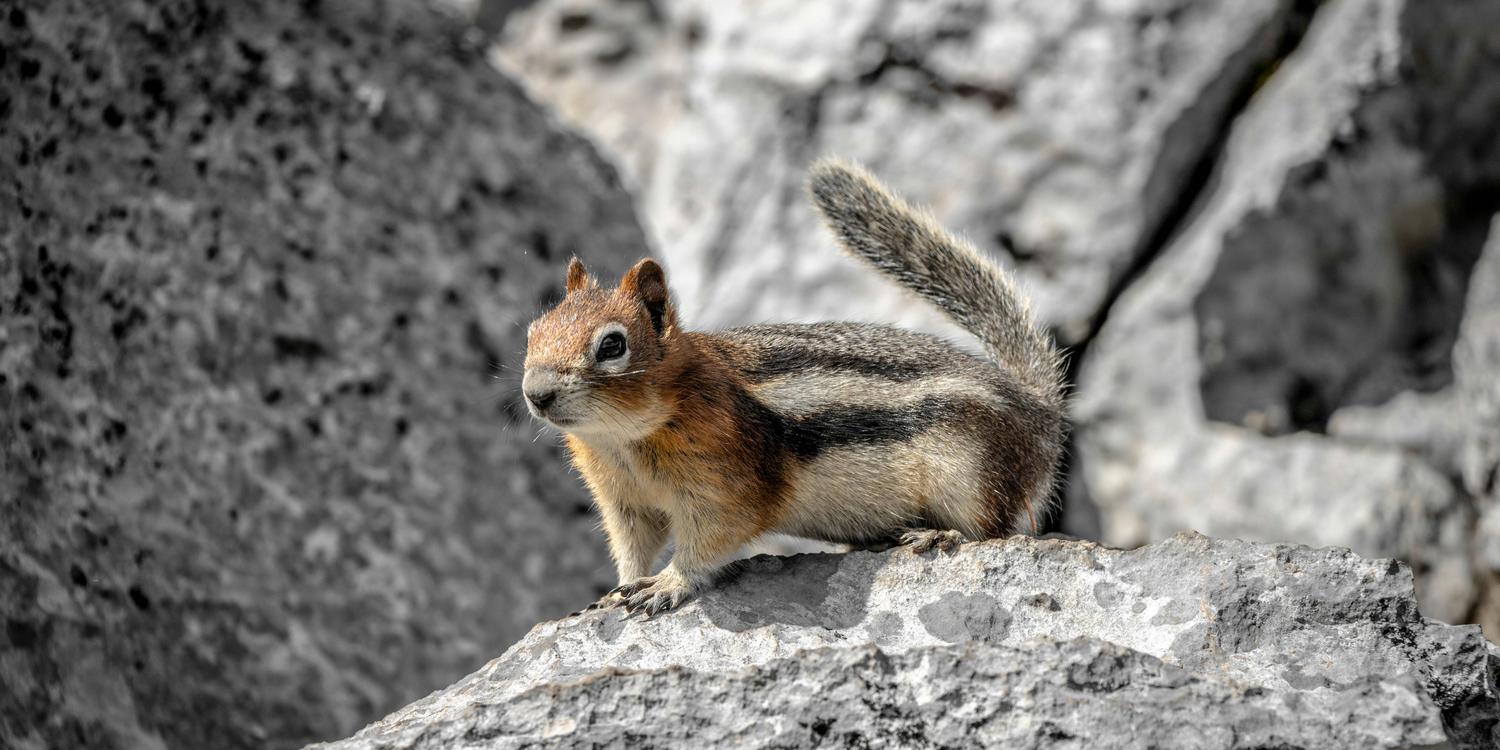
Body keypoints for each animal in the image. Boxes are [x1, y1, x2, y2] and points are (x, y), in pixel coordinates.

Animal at [522, 159, 1062, 615]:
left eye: (612, 345)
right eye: (533, 331)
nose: (536, 394)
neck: (626, 439)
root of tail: (1038, 409)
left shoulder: (725, 488)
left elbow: (708, 542)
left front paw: (669, 583)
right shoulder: (625, 502)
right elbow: (632, 548)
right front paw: (616, 590)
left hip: (971, 472)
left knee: (991, 531)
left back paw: (940, 536)